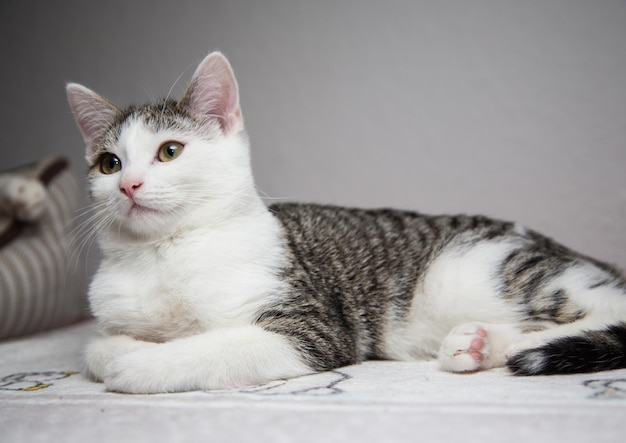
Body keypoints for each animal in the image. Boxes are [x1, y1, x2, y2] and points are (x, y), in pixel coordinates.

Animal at [64, 50, 624, 394]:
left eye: (170, 151)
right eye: (109, 163)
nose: (129, 184)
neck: (163, 252)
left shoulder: (314, 328)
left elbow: (218, 344)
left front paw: (142, 362)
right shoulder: (111, 310)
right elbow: (94, 345)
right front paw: (122, 348)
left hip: (481, 270)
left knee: (608, 304)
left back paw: (530, 346)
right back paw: (479, 344)